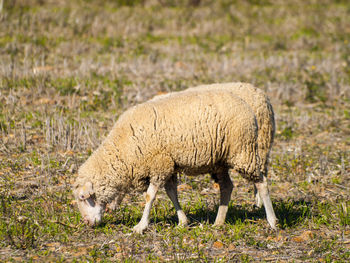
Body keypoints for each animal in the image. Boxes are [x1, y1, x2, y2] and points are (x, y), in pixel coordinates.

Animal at [73, 87, 276, 234]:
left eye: (83, 198)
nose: (87, 222)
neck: (124, 149)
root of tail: (247, 105)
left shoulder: (159, 163)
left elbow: (150, 196)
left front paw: (141, 226)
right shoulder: (168, 165)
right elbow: (171, 193)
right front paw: (182, 221)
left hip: (244, 151)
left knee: (262, 182)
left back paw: (272, 221)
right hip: (220, 161)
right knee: (227, 186)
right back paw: (218, 222)